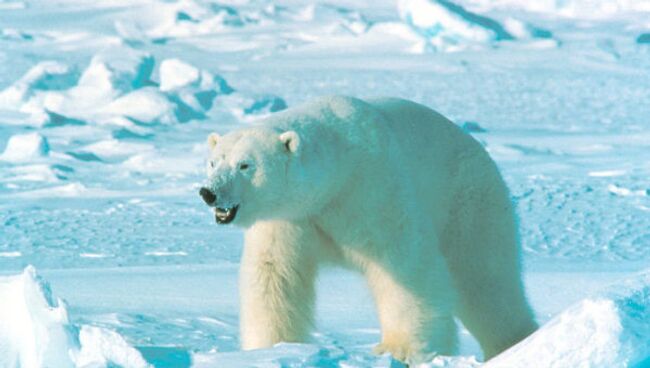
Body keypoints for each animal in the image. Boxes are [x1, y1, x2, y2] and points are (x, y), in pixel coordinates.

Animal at [199, 95, 536, 362]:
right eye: (214, 162)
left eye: (245, 165)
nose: (208, 192)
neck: (335, 177)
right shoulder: (289, 218)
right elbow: (274, 273)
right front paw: (269, 349)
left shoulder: (371, 189)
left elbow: (404, 264)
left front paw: (400, 349)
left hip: (469, 203)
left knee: (486, 279)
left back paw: (514, 343)